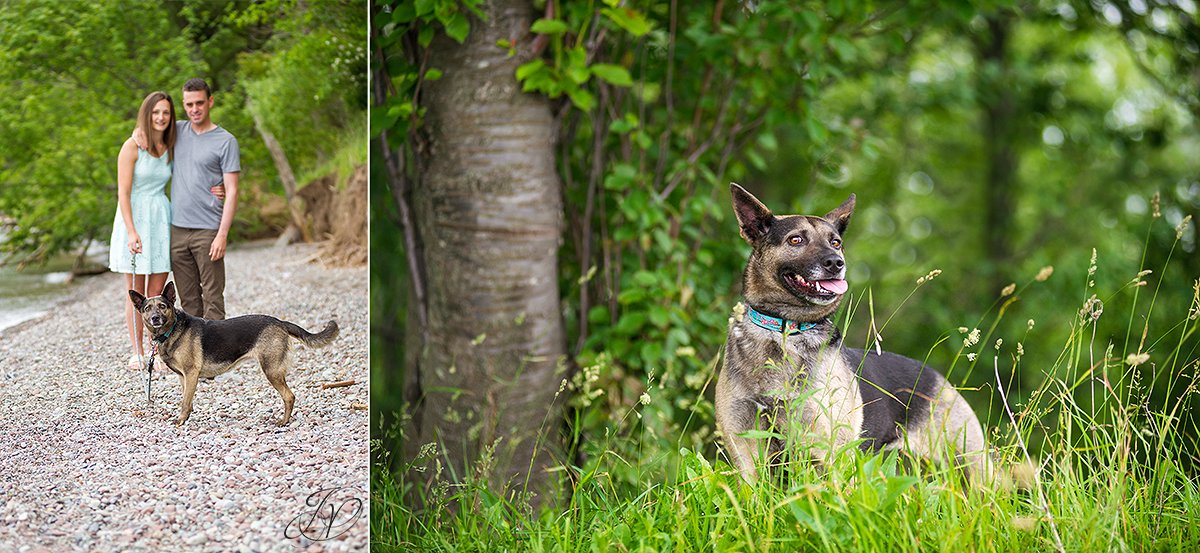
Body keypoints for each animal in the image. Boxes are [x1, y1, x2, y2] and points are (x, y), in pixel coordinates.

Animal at [129, 280, 340, 427]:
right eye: (147, 308)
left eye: (163, 306)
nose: (155, 318)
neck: (171, 330)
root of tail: (279, 321)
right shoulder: (184, 377)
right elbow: (186, 399)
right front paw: (187, 415)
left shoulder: (191, 373)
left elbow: (184, 401)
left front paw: (181, 420)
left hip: (271, 370)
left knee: (289, 396)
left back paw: (283, 421)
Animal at [710, 183, 993, 479]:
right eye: (796, 240)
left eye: (835, 242)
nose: (836, 263)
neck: (786, 329)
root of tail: (939, 378)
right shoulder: (746, 450)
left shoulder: (825, 450)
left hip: (971, 469)